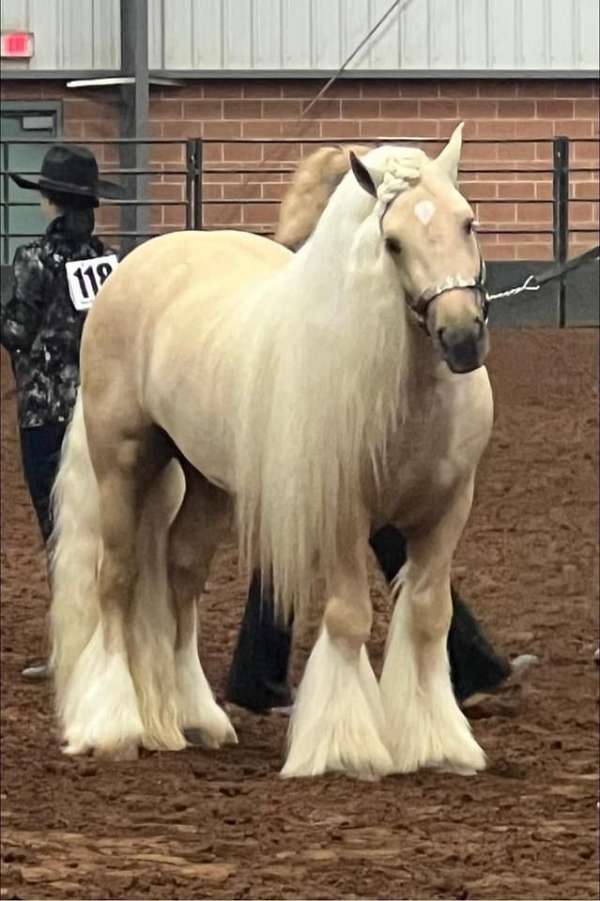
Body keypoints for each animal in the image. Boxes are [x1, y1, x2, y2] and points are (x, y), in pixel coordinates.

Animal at [50, 123, 492, 776]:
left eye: (468, 223)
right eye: (391, 243)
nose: (461, 337)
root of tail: (138, 266)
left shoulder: (446, 510)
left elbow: (430, 614)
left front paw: (437, 742)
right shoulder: (341, 512)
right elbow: (349, 617)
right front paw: (345, 746)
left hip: (207, 482)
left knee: (181, 575)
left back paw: (194, 718)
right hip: (122, 463)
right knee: (118, 578)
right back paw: (113, 726)